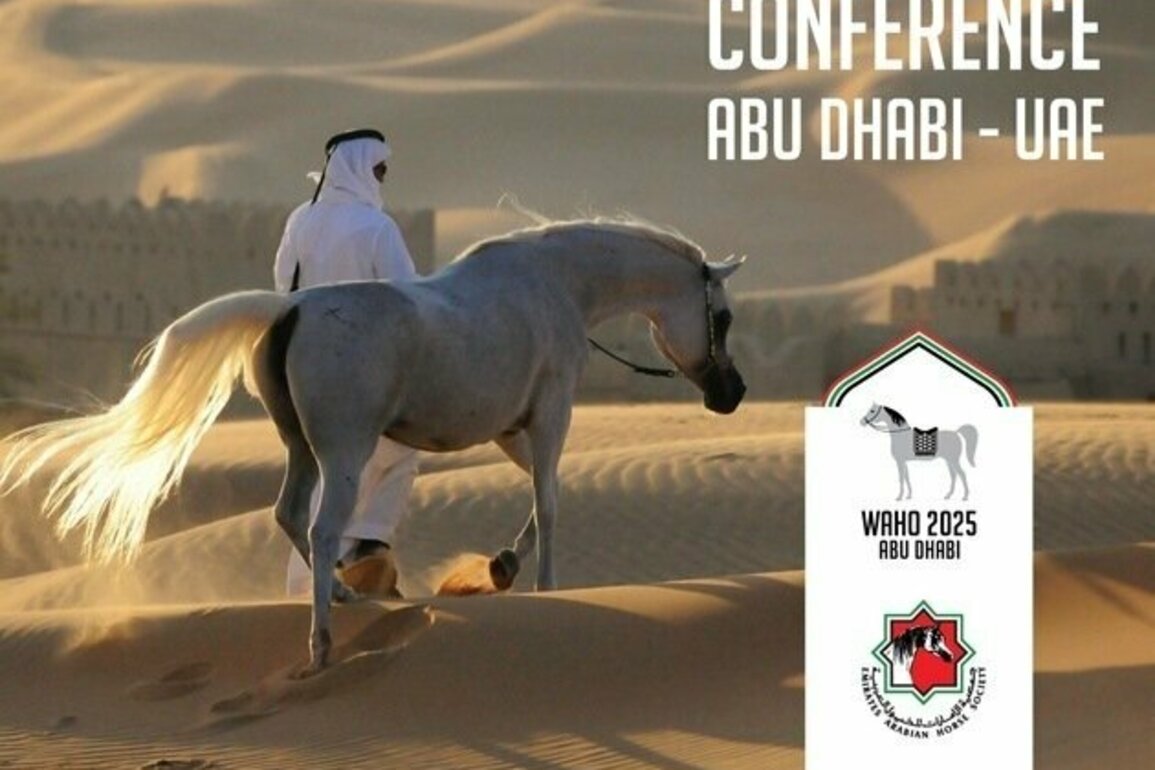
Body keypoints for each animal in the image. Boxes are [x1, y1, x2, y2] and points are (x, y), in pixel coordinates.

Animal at [0, 219, 747, 674]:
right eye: (724, 315)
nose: (732, 393)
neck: (555, 286)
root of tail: (289, 309)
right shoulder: (548, 417)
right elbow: (551, 503)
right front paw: (540, 586)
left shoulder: (511, 430)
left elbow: (542, 501)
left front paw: (502, 567)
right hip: (346, 452)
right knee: (324, 526)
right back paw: (323, 640)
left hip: (303, 449)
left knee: (289, 515)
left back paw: (344, 595)